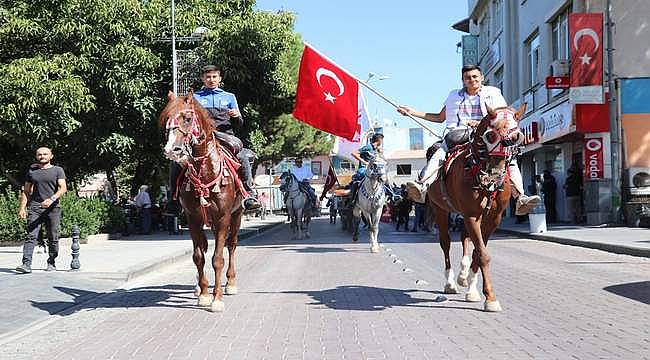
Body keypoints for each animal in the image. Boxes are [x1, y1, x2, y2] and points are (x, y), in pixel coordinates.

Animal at [159, 90, 243, 312]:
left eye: (187, 118)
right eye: (166, 120)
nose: (172, 149)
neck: (206, 171)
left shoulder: (223, 218)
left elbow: (218, 258)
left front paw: (217, 299)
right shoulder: (193, 218)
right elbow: (198, 256)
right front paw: (205, 294)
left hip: (236, 215)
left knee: (231, 245)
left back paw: (231, 282)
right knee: (205, 247)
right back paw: (198, 287)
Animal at [426, 104, 528, 312]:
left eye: (515, 137)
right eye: (490, 135)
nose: (494, 174)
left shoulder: (492, 219)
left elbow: (477, 252)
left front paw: (473, 289)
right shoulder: (472, 215)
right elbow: (482, 255)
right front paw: (490, 298)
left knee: (464, 237)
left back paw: (463, 276)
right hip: (440, 209)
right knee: (446, 243)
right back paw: (450, 282)